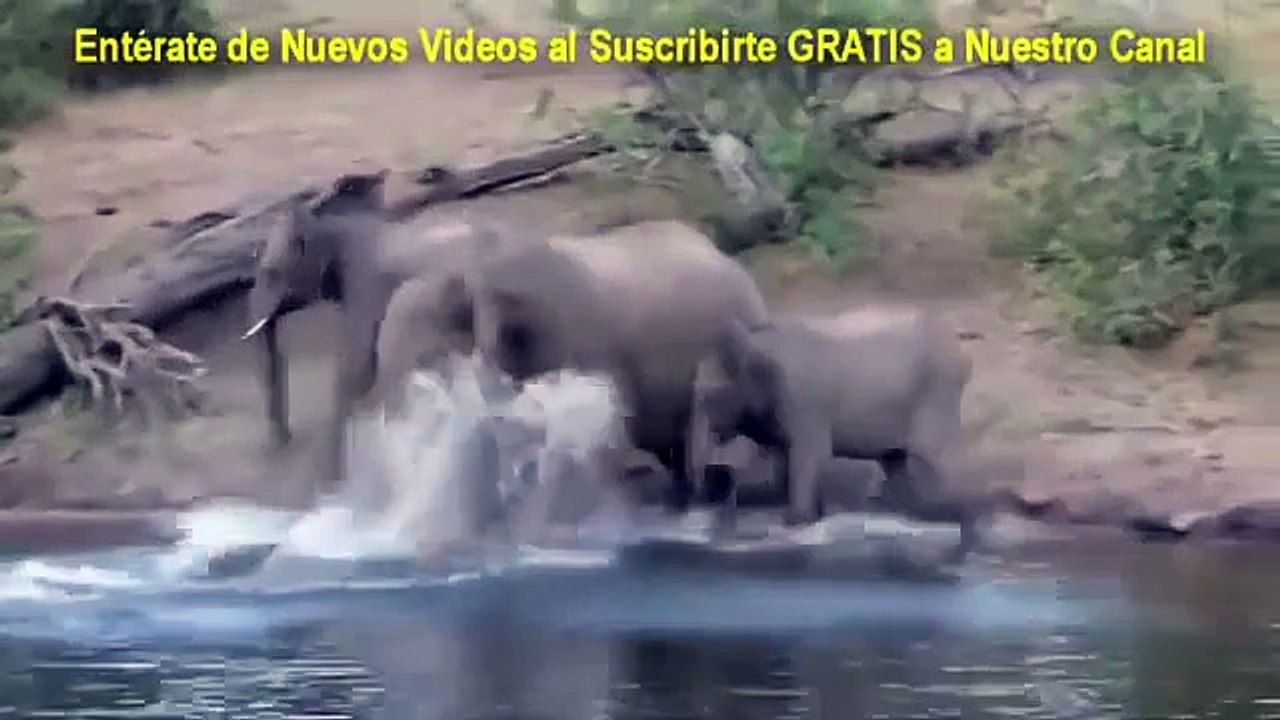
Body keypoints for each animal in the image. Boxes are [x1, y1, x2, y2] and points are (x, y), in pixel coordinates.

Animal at [691, 306, 984, 558]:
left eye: (709, 396)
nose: (718, 480)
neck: (756, 339)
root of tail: (955, 332)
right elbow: (788, 462)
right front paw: (808, 521)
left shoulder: (804, 402)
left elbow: (810, 456)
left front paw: (797, 524)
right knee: (905, 477)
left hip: (938, 394)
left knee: (940, 463)